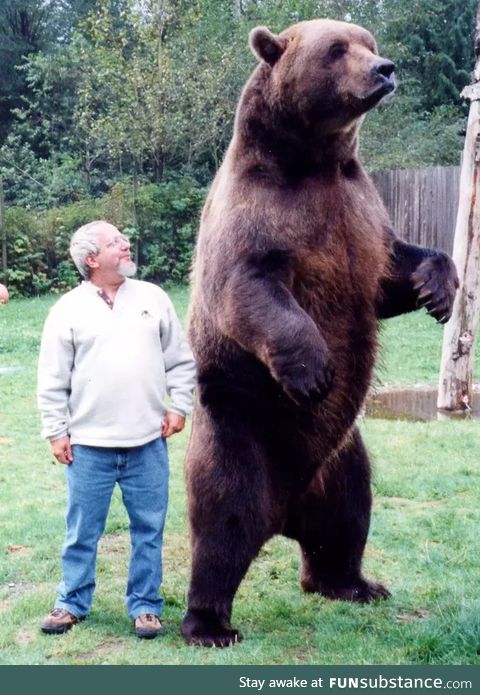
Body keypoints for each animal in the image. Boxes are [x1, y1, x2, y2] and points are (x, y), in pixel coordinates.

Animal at [182, 19, 460, 648]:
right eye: (337, 50)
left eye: (367, 41)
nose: (385, 68)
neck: (318, 161)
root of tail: (285, 510)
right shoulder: (259, 213)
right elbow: (249, 286)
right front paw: (313, 370)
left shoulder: (362, 212)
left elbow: (391, 270)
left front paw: (438, 288)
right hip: (241, 429)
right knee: (223, 523)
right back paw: (208, 623)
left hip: (342, 457)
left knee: (348, 516)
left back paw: (353, 583)